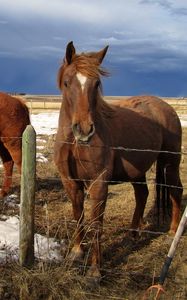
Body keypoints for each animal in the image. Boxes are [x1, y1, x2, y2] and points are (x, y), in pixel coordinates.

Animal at [54, 41, 183, 280]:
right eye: (67, 82)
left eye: (96, 83)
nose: (84, 130)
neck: (74, 143)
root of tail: (166, 106)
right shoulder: (70, 182)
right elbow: (78, 215)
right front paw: (77, 252)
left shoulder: (98, 183)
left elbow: (96, 223)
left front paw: (95, 271)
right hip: (138, 170)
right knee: (142, 194)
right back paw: (133, 233)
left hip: (171, 163)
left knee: (175, 190)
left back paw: (172, 231)